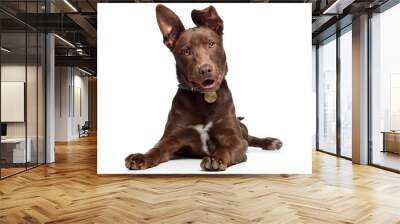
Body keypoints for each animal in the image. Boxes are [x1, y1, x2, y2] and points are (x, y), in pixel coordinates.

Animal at [125, 4, 282, 171]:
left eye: (211, 44)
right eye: (186, 51)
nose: (205, 70)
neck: (204, 98)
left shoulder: (235, 139)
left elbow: (227, 147)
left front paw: (216, 158)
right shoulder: (172, 137)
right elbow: (158, 148)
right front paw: (141, 157)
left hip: (242, 129)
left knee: (251, 138)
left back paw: (270, 142)